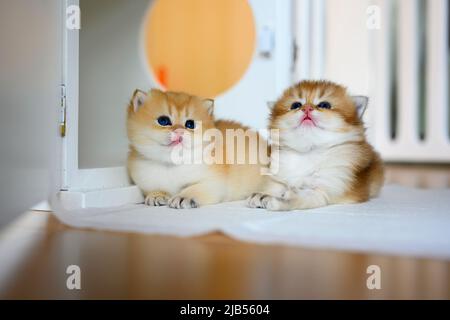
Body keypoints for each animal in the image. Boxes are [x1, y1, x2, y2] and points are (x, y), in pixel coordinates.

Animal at [126, 87, 268, 209]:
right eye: (163, 121)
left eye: (190, 124)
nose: (179, 131)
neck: (171, 164)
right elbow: (154, 189)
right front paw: (156, 195)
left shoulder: (214, 183)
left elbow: (194, 188)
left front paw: (183, 197)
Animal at [246, 79, 384, 210]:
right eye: (296, 105)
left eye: (324, 105)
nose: (307, 108)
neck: (309, 151)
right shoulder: (280, 177)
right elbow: (277, 187)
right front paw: (262, 194)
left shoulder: (325, 189)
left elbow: (302, 197)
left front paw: (280, 200)